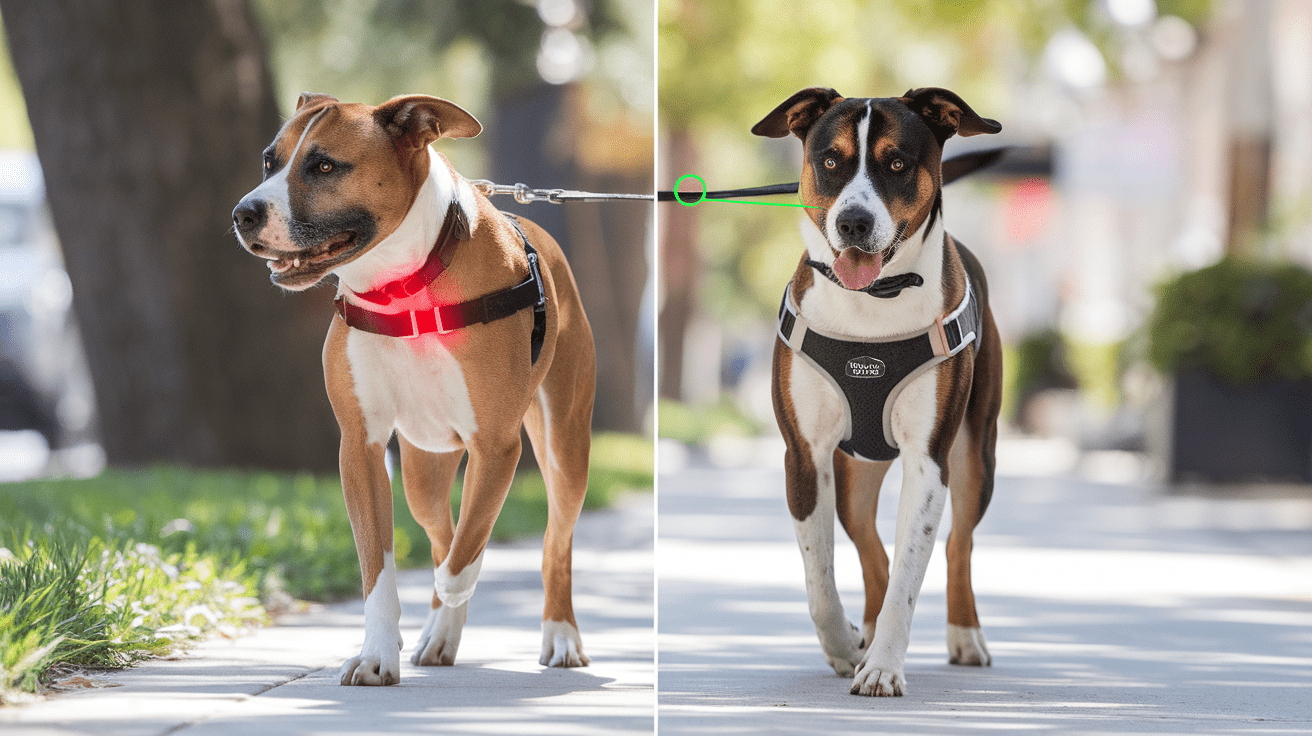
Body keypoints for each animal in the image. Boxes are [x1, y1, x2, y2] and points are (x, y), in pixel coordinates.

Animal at [229, 91, 595, 682]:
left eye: (324, 166)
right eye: (269, 161)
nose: (243, 213)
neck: (404, 284)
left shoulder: (496, 446)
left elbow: (471, 543)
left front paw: (453, 588)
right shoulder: (361, 446)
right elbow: (380, 566)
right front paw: (379, 653)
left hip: (564, 448)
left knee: (551, 544)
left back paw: (558, 636)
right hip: (423, 468)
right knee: (441, 529)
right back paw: (440, 634)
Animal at [755, 87, 997, 692]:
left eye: (897, 163)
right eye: (830, 161)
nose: (854, 223)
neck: (874, 301)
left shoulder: (928, 461)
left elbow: (912, 572)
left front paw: (883, 665)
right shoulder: (804, 455)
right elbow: (820, 580)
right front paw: (844, 646)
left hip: (976, 454)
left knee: (958, 542)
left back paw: (964, 637)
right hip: (853, 474)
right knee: (868, 543)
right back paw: (859, 634)